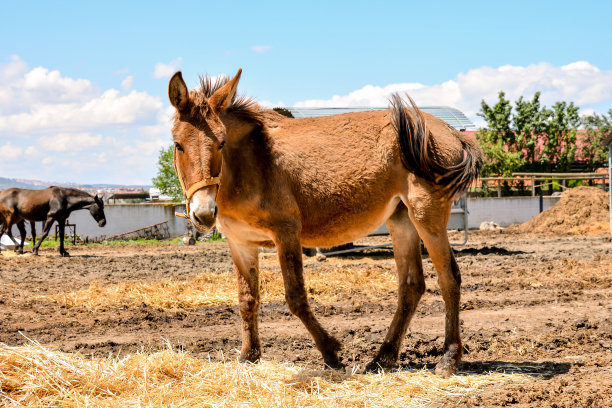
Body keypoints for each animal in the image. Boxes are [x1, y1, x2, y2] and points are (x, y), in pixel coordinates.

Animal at [169, 69, 482, 376]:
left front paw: (330, 352)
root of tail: (450, 131)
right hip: (402, 220)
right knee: (411, 285)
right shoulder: (240, 242)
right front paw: (248, 356)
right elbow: (247, 299)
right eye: (178, 145)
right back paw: (383, 357)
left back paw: (448, 358)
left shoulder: (287, 233)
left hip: (427, 216)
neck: (249, 163)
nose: (204, 213)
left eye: (221, 143)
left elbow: (296, 297)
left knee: (449, 277)